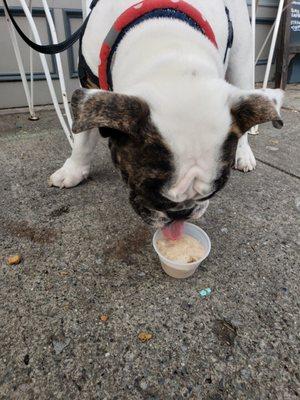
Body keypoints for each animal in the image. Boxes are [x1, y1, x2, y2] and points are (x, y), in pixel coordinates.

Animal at [49, 0, 284, 227]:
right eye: (148, 191)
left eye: (212, 192)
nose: (182, 213)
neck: (171, 54)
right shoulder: (90, 88)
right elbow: (82, 138)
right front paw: (72, 171)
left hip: (241, 62)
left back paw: (243, 154)